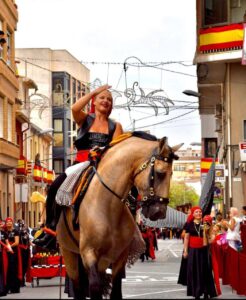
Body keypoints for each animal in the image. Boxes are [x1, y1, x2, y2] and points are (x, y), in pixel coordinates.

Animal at [56, 134, 183, 300]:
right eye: (161, 173)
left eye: (172, 174)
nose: (159, 212)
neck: (107, 205)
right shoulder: (89, 253)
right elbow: (94, 287)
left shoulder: (119, 257)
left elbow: (116, 291)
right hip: (69, 254)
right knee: (78, 288)